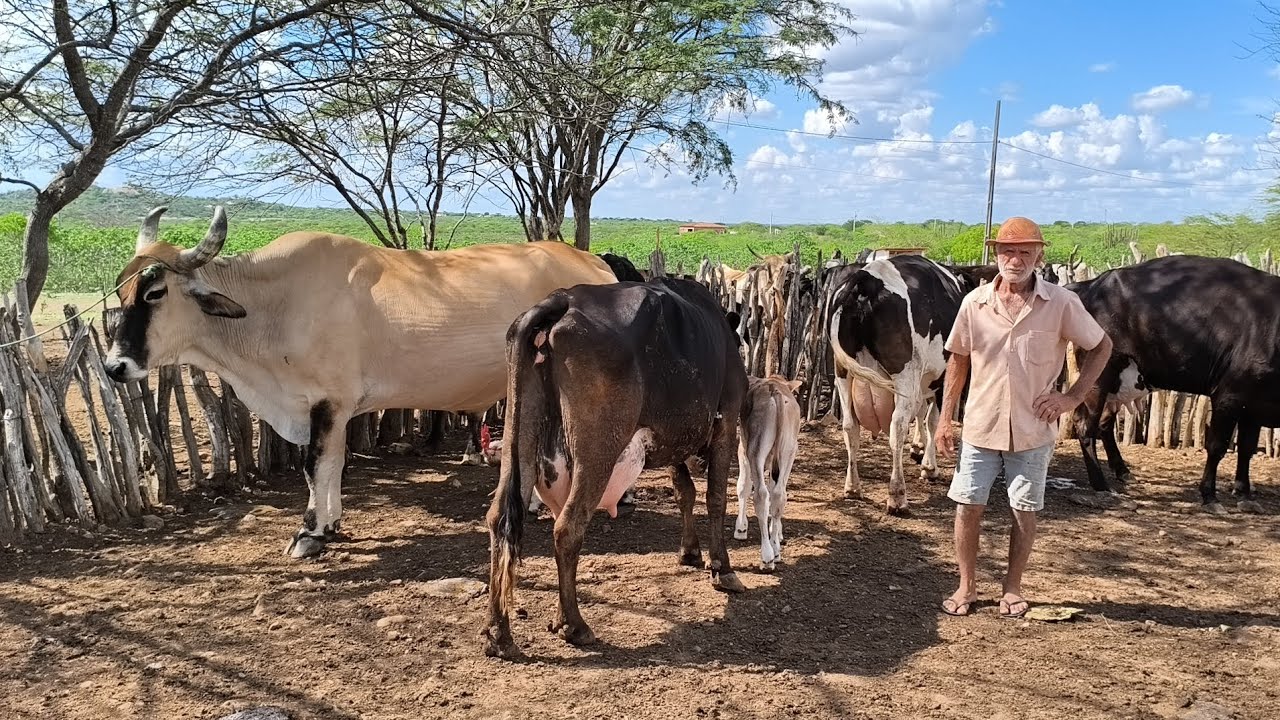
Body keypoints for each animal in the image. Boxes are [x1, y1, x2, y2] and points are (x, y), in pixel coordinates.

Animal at [103, 206, 619, 558]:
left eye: (155, 292)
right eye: (121, 291)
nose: (114, 367)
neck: (275, 305)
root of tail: (593, 263)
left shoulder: (328, 402)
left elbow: (317, 464)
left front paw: (310, 532)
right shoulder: (327, 407)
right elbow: (332, 466)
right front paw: (331, 524)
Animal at [482, 277, 748, 659]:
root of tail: (563, 299)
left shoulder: (673, 436)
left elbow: (684, 491)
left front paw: (689, 551)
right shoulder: (726, 420)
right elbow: (714, 497)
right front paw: (722, 568)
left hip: (520, 437)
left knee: (500, 519)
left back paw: (500, 632)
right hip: (598, 450)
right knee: (567, 527)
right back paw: (574, 625)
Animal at [733, 374, 803, 571]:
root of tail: (775, 390)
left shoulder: (743, 450)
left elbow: (743, 486)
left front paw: (740, 528)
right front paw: (777, 534)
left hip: (755, 451)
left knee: (761, 495)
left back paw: (767, 557)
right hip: (788, 450)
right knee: (779, 494)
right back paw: (776, 551)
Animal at [827, 255, 982, 515]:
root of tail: (867, 279)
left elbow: (922, 415)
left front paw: (920, 450)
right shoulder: (939, 378)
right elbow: (933, 420)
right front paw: (929, 467)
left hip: (843, 372)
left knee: (850, 427)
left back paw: (852, 487)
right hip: (904, 373)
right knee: (897, 427)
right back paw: (897, 496)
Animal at [1067, 255, 1280, 514]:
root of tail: (1093, 284)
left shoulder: (1253, 406)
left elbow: (1247, 449)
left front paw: (1244, 494)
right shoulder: (1228, 397)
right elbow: (1217, 446)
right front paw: (1210, 496)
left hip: (1114, 387)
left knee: (1104, 424)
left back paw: (1122, 471)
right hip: (1099, 377)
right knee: (1085, 425)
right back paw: (1101, 485)